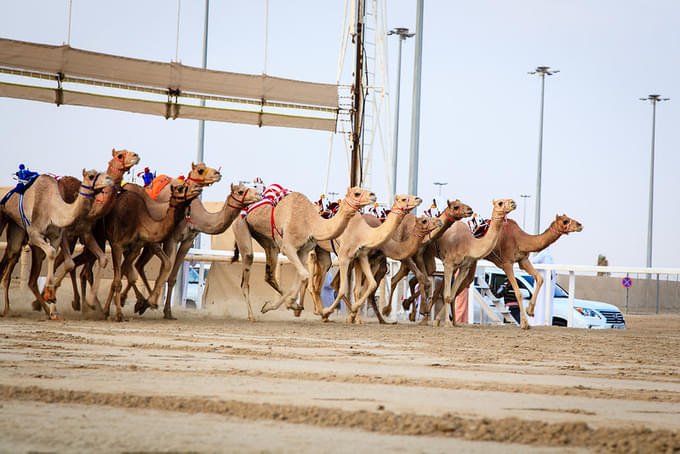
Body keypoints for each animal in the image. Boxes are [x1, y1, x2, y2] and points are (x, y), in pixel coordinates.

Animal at [0, 168, 114, 318]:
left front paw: (53, 302)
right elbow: (55, 254)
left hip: (17, 227)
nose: (109, 179)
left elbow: (57, 256)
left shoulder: (57, 236)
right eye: (91, 176)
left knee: (13, 256)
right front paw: (51, 297)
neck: (54, 209)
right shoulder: (35, 234)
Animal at [101, 182, 201, 322]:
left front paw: (108, 311)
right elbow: (118, 281)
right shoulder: (117, 245)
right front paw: (119, 314)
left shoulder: (135, 248)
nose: (198, 187)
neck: (139, 221)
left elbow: (120, 277)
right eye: (180, 188)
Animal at [232, 184, 374, 320]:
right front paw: (290, 303)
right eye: (356, 193)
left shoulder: (304, 250)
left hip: (267, 240)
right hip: (239, 224)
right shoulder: (288, 247)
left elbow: (300, 276)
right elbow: (305, 275)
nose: (373, 195)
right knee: (248, 264)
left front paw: (285, 305)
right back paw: (251, 316)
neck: (310, 222)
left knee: (269, 274)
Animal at [316, 194, 422, 322]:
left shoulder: (366, 258)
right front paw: (353, 316)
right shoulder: (351, 257)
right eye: (403, 199)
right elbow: (353, 289)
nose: (418, 199)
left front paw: (354, 314)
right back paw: (322, 312)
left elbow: (368, 286)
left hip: (323, 252)